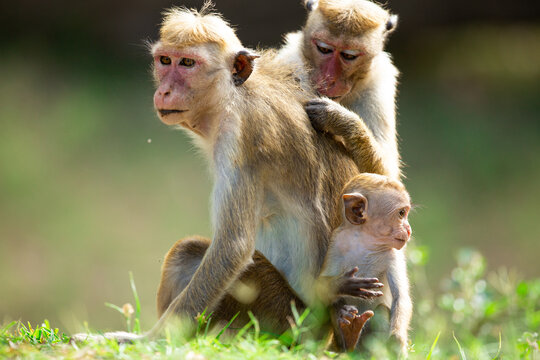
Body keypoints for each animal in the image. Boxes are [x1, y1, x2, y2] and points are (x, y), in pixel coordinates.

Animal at [278, 0, 400, 179]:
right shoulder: (291, 64)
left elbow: (388, 178)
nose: (329, 79)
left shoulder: (377, 83)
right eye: (324, 49)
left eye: (349, 56)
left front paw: (339, 119)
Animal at [316, 173, 414, 352]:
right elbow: (318, 286)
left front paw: (397, 339)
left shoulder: (394, 254)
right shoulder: (336, 242)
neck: (366, 241)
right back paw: (349, 337)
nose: (409, 229)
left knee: (381, 311)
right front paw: (345, 284)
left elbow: (401, 297)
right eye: (401, 213)